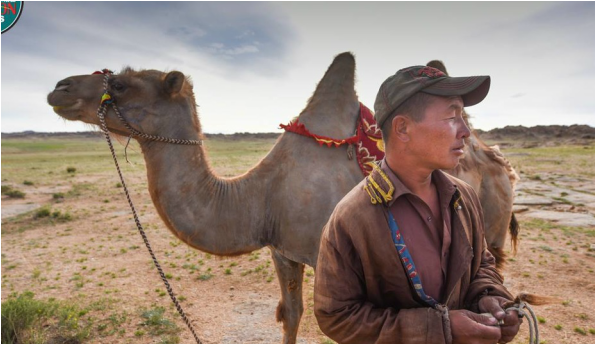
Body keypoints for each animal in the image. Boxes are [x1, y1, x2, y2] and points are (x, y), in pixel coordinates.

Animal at [47, 52, 516, 342]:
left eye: (121, 84)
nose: (59, 88)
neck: (261, 196)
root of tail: (495, 156)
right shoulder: (283, 250)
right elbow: (289, 315)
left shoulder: (331, 260)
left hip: (491, 228)